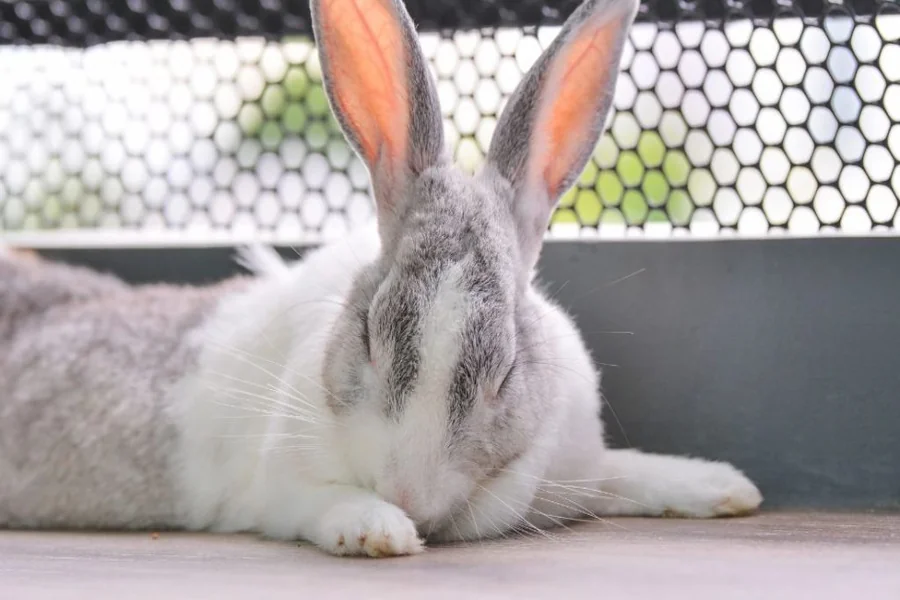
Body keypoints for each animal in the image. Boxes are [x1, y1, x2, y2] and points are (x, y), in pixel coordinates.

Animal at [0, 0, 762, 558]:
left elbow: (625, 470)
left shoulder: (578, 466)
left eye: (507, 372)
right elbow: (316, 501)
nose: (409, 498)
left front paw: (725, 488)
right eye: (368, 338)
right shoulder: (279, 481)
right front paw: (378, 530)